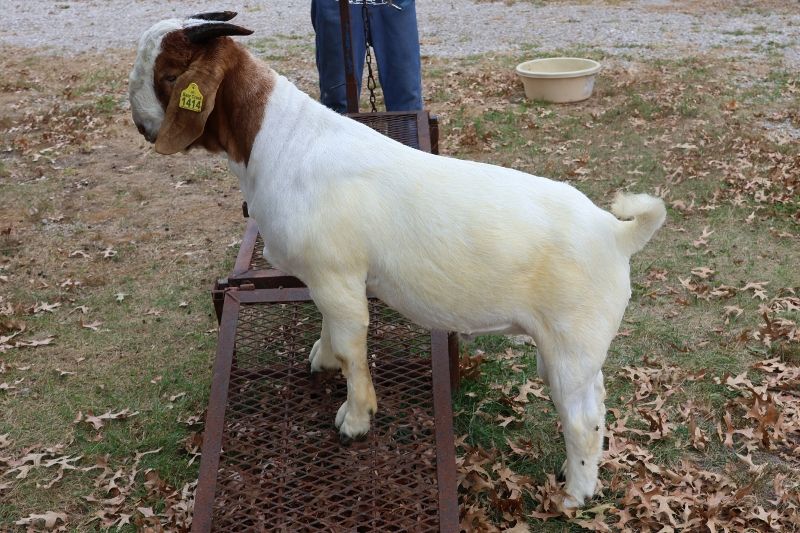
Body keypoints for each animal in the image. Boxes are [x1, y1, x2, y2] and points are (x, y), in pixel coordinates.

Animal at [129, 12, 666, 508]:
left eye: (169, 74)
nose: (139, 123)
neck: (280, 141)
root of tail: (616, 233)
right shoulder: (329, 280)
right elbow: (329, 327)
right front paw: (321, 358)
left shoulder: (336, 274)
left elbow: (352, 347)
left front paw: (354, 419)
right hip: (579, 349)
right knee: (597, 403)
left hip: (571, 345)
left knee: (581, 420)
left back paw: (575, 493)